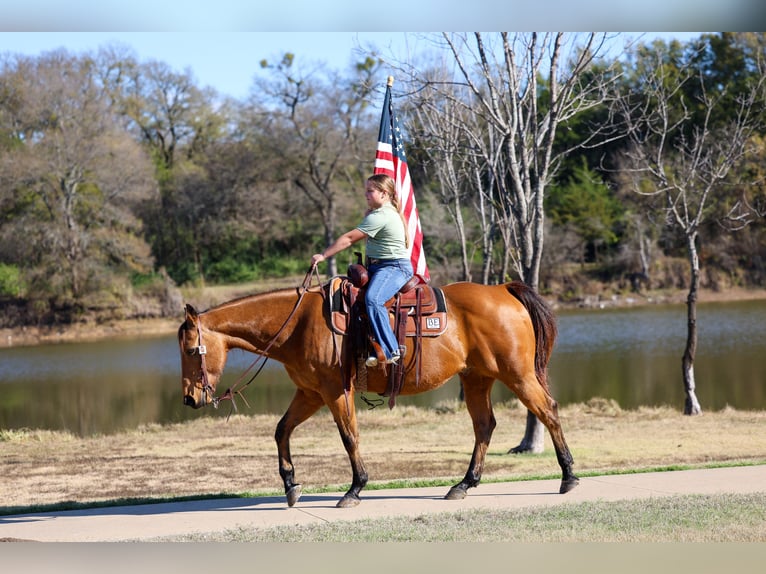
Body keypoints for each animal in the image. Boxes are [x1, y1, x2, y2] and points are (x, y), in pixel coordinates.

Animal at [178, 275, 579, 508]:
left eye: (190, 349)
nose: (189, 399)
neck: (298, 325)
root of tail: (502, 290)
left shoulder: (335, 391)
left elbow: (349, 437)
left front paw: (355, 489)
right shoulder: (310, 393)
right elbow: (281, 430)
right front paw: (291, 484)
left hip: (518, 374)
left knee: (547, 411)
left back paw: (568, 477)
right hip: (477, 377)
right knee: (484, 425)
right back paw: (464, 484)